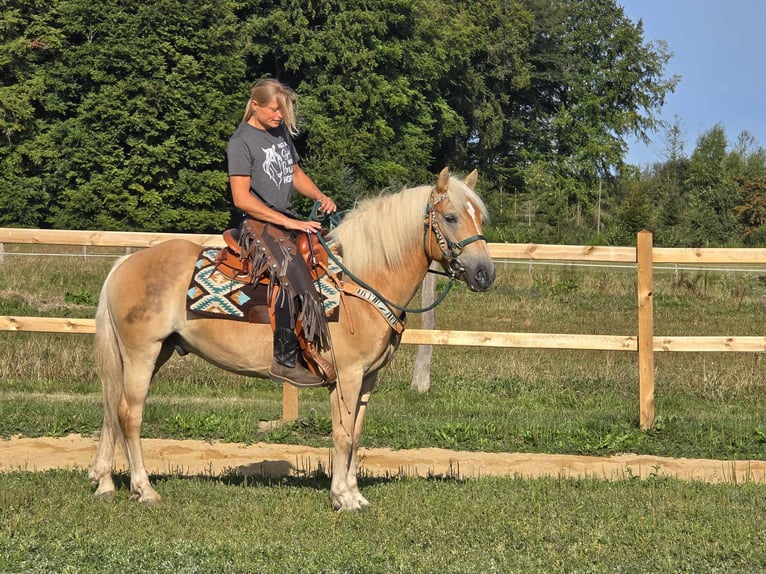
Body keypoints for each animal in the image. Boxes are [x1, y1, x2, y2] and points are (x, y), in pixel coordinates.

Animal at [88, 168, 498, 512]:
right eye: (450, 217)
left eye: (479, 217)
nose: (484, 274)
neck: (361, 280)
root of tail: (125, 264)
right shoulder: (347, 376)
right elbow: (342, 435)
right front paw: (342, 497)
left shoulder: (367, 379)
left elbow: (357, 434)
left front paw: (355, 493)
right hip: (142, 353)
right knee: (130, 415)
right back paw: (144, 489)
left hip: (153, 353)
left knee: (111, 410)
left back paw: (105, 482)